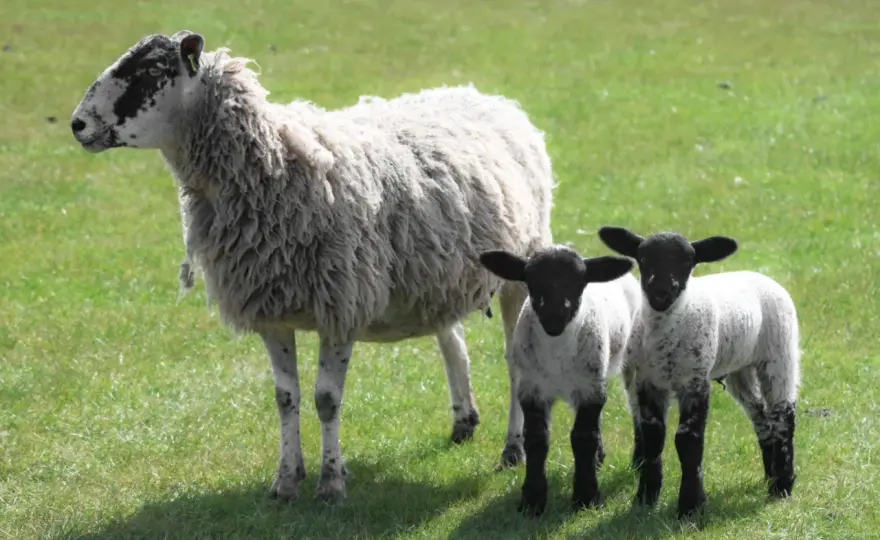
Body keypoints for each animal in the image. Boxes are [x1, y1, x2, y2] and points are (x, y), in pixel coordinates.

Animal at [69, 30, 555, 503]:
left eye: (153, 70)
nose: (77, 124)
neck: (275, 166)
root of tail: (485, 97)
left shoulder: (339, 306)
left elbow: (326, 399)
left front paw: (331, 483)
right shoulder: (270, 309)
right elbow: (286, 398)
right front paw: (286, 481)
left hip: (521, 267)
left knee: (516, 361)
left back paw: (512, 450)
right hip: (434, 278)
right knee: (452, 342)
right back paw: (463, 421)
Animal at [479, 245, 641, 516]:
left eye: (578, 281)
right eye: (531, 280)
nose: (554, 316)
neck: (556, 352)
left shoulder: (590, 390)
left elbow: (583, 438)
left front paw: (586, 496)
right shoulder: (532, 389)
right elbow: (536, 439)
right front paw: (532, 500)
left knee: (637, 407)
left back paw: (639, 459)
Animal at [597, 225, 801, 519]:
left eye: (687, 261)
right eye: (643, 258)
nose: (660, 292)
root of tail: (759, 275)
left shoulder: (694, 381)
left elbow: (688, 440)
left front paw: (691, 506)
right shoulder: (648, 381)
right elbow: (652, 436)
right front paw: (645, 498)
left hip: (780, 354)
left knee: (784, 416)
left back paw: (782, 485)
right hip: (739, 368)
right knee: (761, 417)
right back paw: (769, 476)